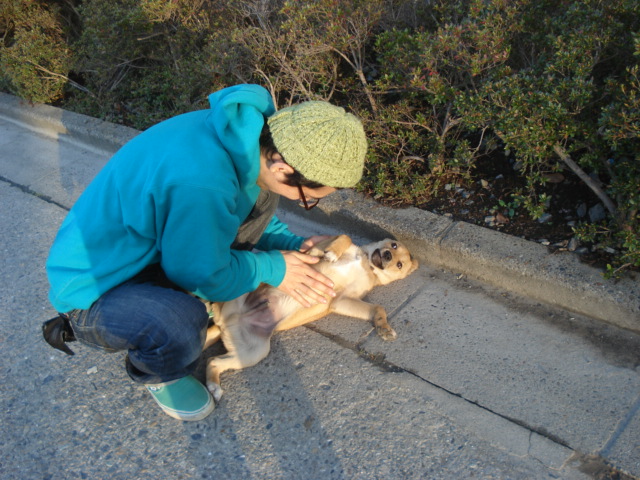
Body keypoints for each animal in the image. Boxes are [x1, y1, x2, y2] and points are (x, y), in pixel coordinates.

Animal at [202, 234, 418, 402]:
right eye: (394, 245)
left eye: (399, 265)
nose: (388, 255)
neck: (365, 262)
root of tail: (226, 321)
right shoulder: (316, 248)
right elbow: (344, 237)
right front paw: (333, 253)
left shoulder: (342, 300)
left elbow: (377, 308)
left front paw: (384, 328)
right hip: (247, 282)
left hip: (253, 353)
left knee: (213, 360)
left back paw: (214, 386)